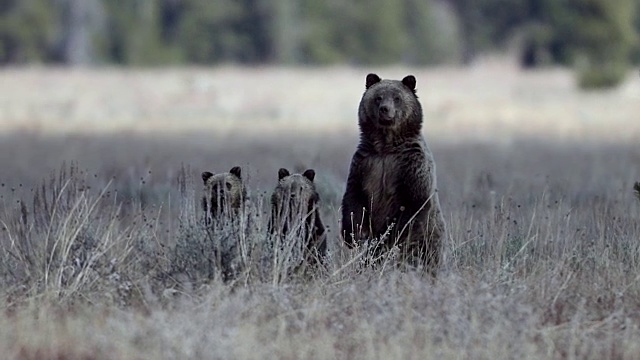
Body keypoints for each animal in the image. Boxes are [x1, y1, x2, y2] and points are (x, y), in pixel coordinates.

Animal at [340, 72, 444, 276]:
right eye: (378, 97)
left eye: (397, 98)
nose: (385, 110)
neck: (386, 146)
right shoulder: (365, 164)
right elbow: (354, 199)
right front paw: (354, 234)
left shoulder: (410, 167)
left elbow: (413, 205)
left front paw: (388, 238)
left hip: (429, 240)